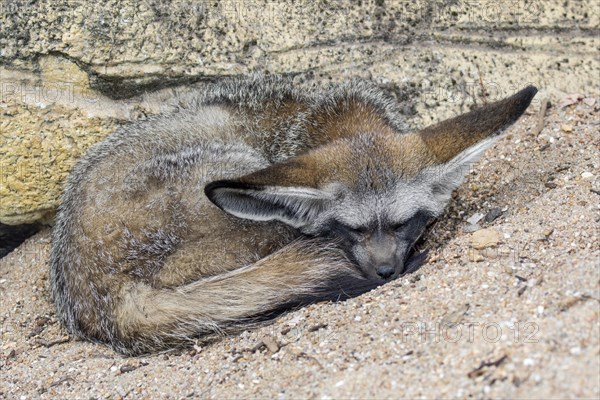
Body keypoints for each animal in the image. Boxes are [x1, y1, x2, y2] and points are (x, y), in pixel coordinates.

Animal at [51, 74, 536, 354]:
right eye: (350, 229)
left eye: (402, 223)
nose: (385, 272)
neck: (325, 118)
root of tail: (101, 301)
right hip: (237, 173)